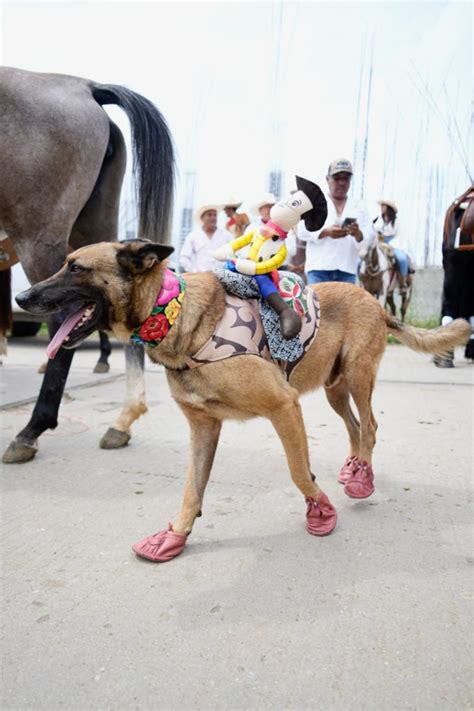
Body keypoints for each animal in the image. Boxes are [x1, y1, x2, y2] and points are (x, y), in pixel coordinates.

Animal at [0, 67, 175, 464]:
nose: (20, 299)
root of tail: (84, 86)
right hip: (94, 225)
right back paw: (123, 421)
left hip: (39, 231)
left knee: (62, 319)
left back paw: (31, 430)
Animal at [17, 242, 470, 564]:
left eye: (75, 267)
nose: (21, 297)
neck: (173, 314)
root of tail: (374, 300)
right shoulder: (204, 427)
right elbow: (192, 487)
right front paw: (175, 535)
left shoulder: (284, 406)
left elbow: (298, 472)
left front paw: (320, 511)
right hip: (334, 388)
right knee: (356, 427)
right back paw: (355, 469)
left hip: (357, 377)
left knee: (371, 427)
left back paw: (362, 481)